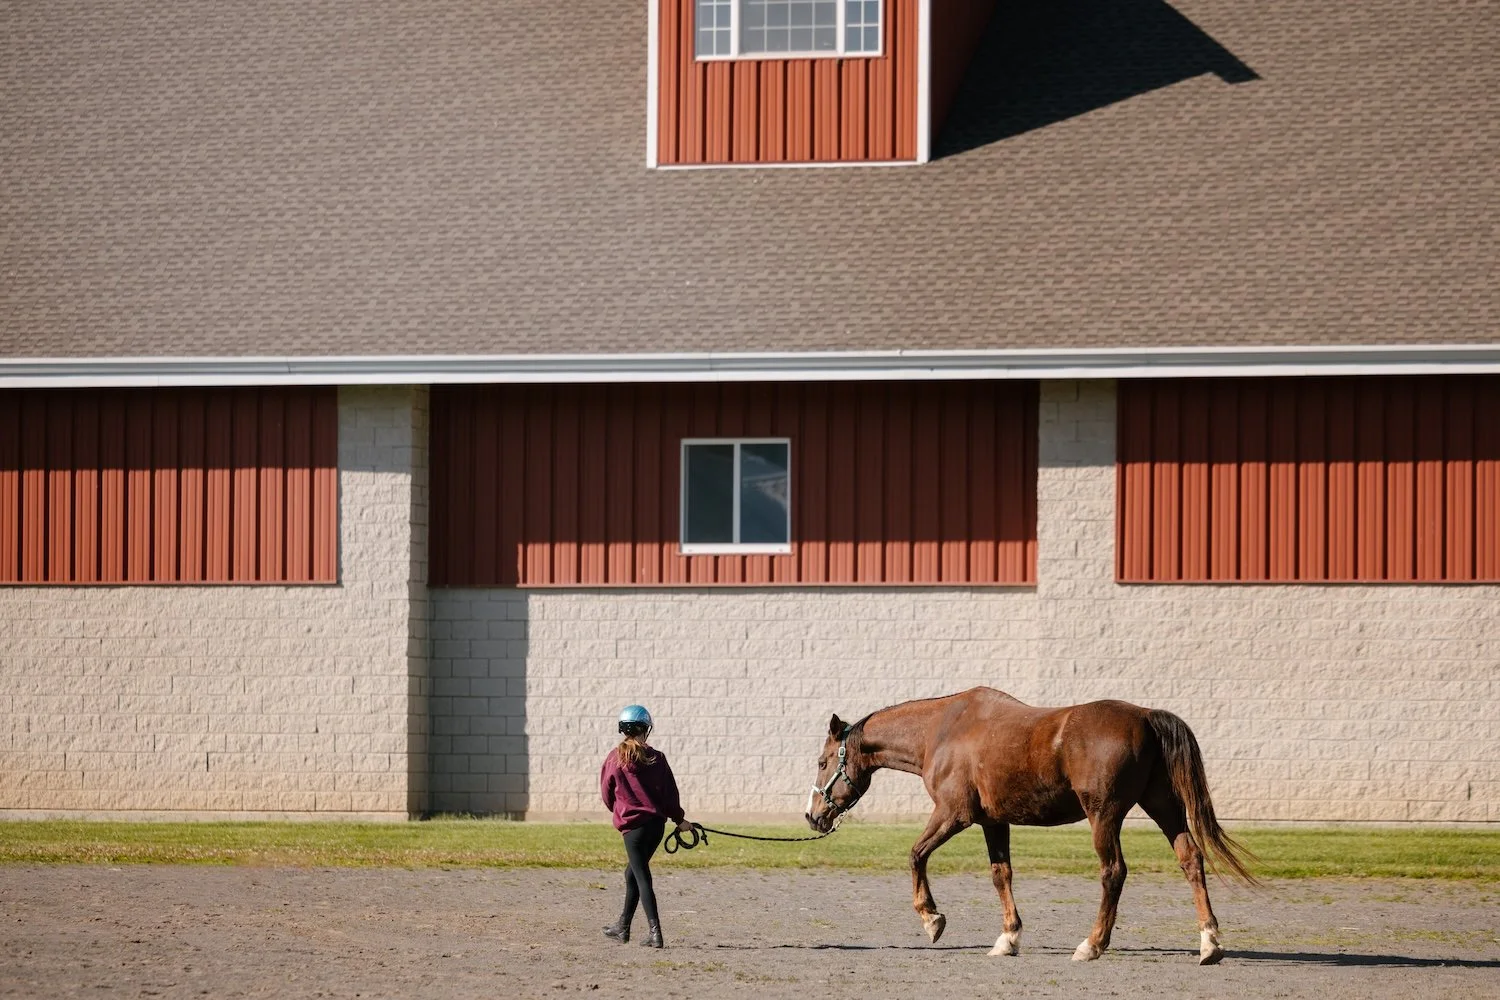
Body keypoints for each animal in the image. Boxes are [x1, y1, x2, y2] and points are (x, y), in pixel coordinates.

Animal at [804, 687, 1256, 965]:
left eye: (823, 762)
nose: (813, 815)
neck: (942, 731)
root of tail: (1145, 716)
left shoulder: (952, 814)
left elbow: (915, 855)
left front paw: (932, 920)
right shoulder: (992, 822)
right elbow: (1000, 875)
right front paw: (1008, 938)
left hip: (1104, 815)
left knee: (1113, 872)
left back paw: (1092, 945)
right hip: (1164, 807)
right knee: (1191, 859)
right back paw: (1209, 943)